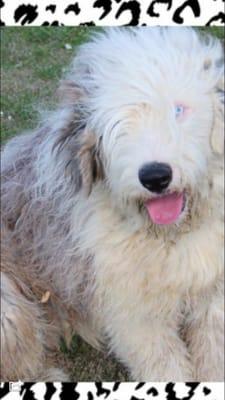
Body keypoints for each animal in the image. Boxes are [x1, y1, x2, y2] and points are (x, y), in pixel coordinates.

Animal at [0, 28, 224, 382]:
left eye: (178, 110)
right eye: (115, 126)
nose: (155, 175)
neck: (169, 236)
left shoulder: (214, 295)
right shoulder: (134, 313)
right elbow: (164, 365)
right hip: (8, 307)